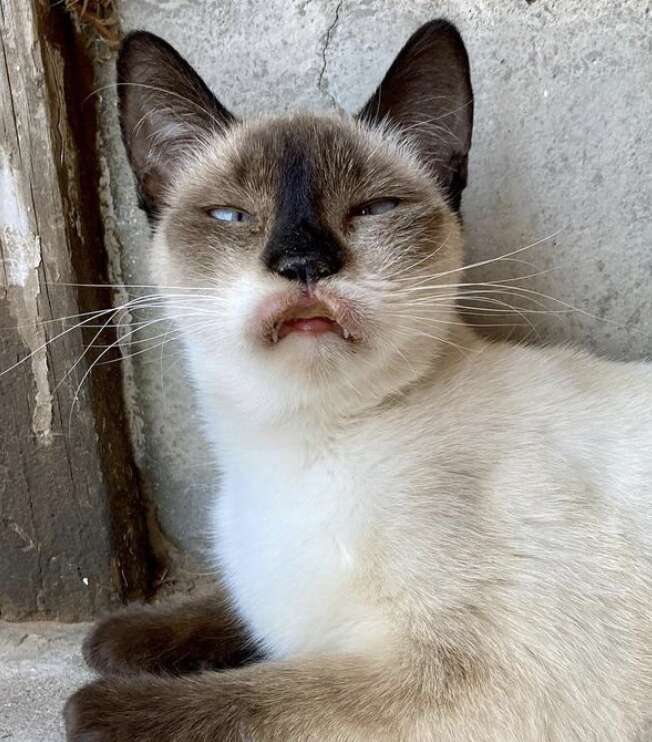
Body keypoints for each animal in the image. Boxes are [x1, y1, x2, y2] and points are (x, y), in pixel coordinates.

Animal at [65, 17, 652, 742]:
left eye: (374, 208)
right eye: (231, 216)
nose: (303, 262)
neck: (293, 444)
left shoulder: (470, 675)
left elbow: (263, 698)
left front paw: (98, 705)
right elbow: (235, 615)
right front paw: (117, 638)